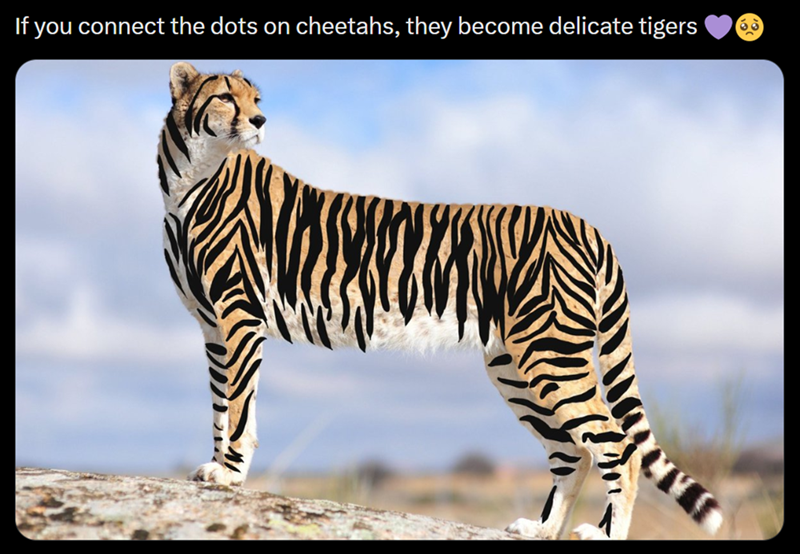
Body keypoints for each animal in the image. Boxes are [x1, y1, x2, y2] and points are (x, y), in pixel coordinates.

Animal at [157, 62, 723, 540]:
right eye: (226, 96)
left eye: (255, 98)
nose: (260, 119)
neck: (190, 180)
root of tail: (586, 223)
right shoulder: (214, 326)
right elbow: (224, 404)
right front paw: (219, 470)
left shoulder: (238, 317)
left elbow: (236, 406)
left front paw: (229, 474)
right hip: (514, 365)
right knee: (571, 451)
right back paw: (541, 529)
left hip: (549, 353)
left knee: (616, 445)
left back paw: (604, 534)